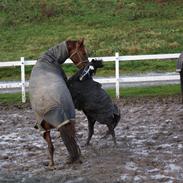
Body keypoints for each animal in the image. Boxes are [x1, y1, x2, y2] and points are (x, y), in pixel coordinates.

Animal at [29, 38, 88, 167]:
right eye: (83, 53)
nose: (86, 68)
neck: (48, 60)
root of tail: (59, 105)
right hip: (66, 123)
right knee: (71, 139)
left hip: (47, 129)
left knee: (52, 146)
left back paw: (52, 164)